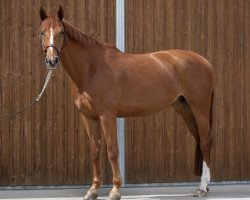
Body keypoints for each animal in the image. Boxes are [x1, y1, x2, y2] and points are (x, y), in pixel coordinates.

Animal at [39, 5, 215, 199]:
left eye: (62, 32)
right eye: (42, 32)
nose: (52, 60)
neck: (92, 68)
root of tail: (205, 62)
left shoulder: (107, 115)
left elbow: (112, 150)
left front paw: (115, 190)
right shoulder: (88, 116)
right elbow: (95, 151)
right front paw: (93, 190)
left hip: (200, 109)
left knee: (205, 141)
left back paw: (202, 187)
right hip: (184, 108)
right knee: (199, 139)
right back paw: (204, 186)